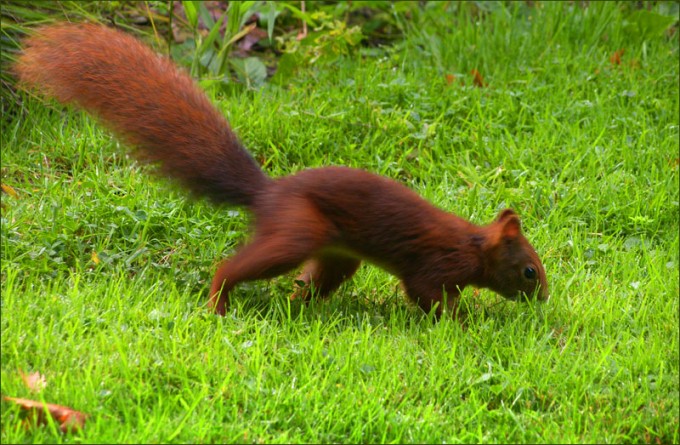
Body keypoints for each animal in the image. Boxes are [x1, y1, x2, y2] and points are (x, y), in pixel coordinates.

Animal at [14, 23, 548, 319]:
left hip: (337, 255)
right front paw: (465, 323)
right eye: (528, 270)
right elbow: (426, 297)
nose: (543, 298)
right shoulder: (434, 267)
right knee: (232, 267)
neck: (473, 246)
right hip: (295, 233)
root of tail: (266, 193)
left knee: (311, 283)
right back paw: (219, 304)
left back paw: (296, 308)